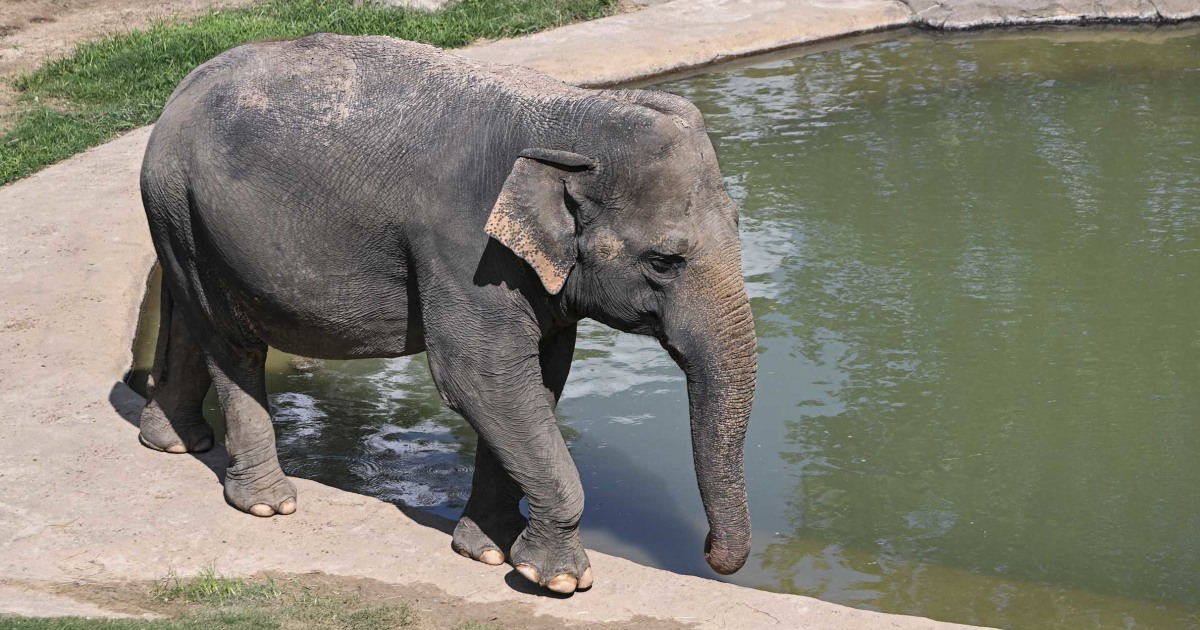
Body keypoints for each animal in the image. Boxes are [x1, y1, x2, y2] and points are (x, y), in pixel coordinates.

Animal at [137, 33, 757, 595]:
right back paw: (267, 504)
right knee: (230, 338)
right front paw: (555, 579)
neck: (572, 112)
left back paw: (173, 443)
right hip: (185, 207)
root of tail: (176, 95)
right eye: (664, 261)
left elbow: (537, 379)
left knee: (186, 313)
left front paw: (487, 551)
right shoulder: (464, 251)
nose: (709, 551)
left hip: (179, 218)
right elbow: (480, 379)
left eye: (739, 224)